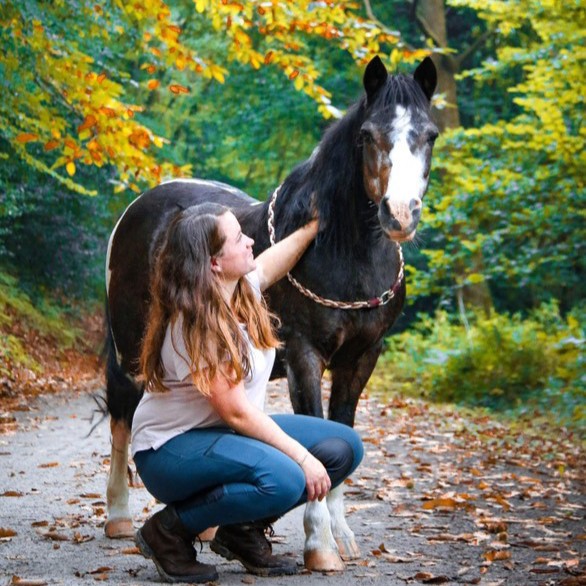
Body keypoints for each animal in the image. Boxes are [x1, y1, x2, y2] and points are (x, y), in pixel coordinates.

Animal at [104, 56, 434, 572]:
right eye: (368, 135)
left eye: (431, 134)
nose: (400, 214)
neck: (345, 256)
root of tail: (140, 207)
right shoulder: (304, 355)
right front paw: (320, 545)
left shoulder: (362, 358)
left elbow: (341, 429)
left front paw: (342, 537)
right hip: (130, 354)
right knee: (121, 419)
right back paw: (119, 517)